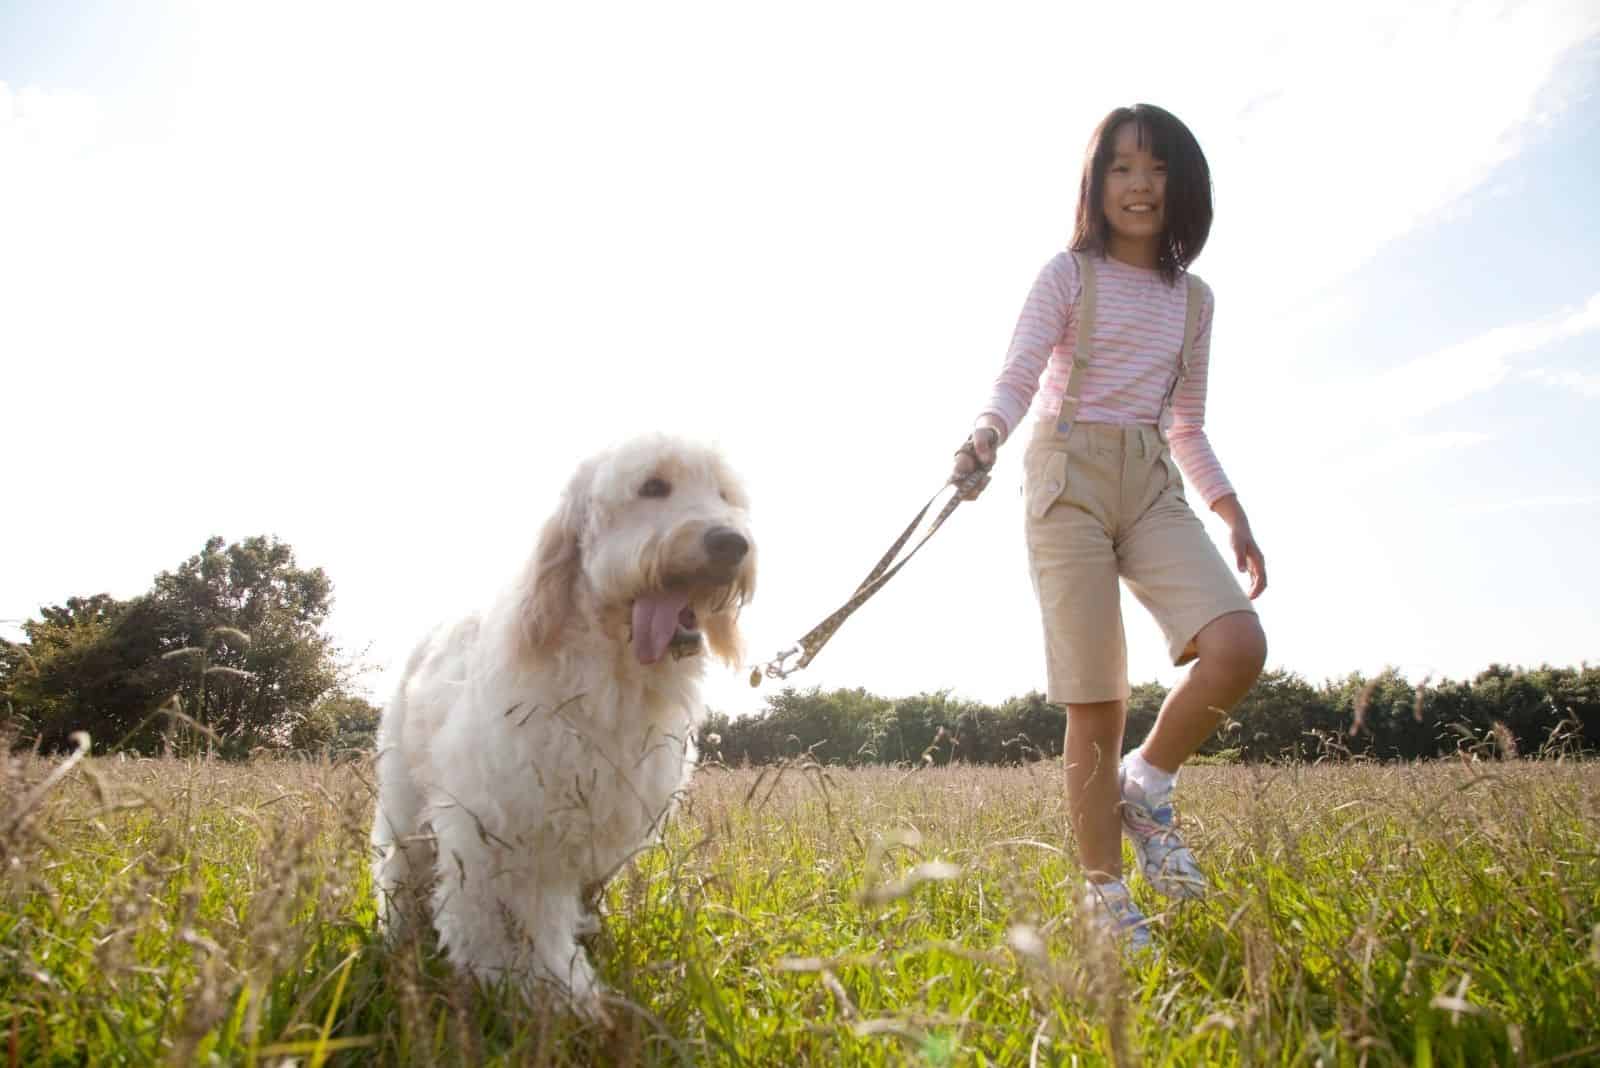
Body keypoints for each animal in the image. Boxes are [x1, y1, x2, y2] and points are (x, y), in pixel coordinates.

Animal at [368, 431, 755, 1010]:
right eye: (653, 486)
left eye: (725, 495)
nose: (732, 543)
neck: (611, 674)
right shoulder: (507, 829)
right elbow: (518, 922)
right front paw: (557, 993)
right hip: (405, 804)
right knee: (399, 872)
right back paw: (398, 939)